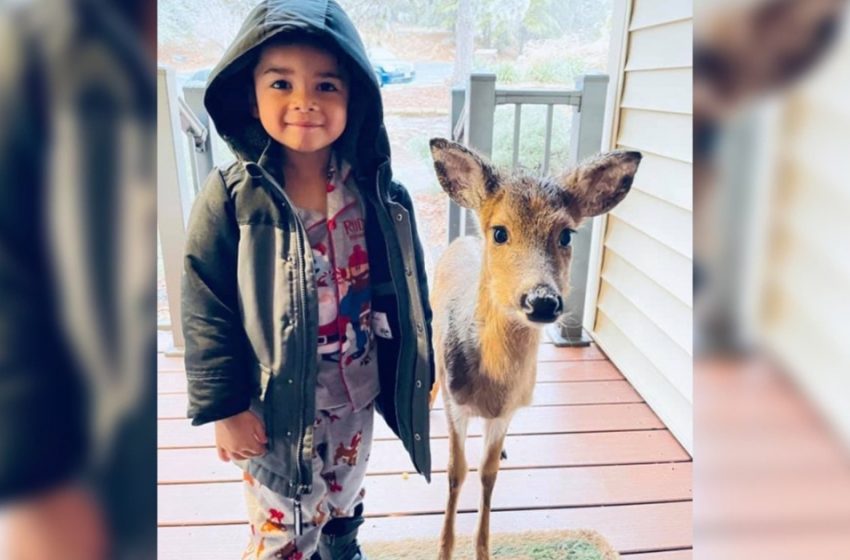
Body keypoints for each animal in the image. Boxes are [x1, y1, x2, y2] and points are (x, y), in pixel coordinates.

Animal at [428, 137, 640, 560]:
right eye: (500, 232)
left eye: (567, 235)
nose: (542, 301)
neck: (491, 387)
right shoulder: (456, 403)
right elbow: (456, 472)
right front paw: (444, 549)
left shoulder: (507, 411)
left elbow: (488, 474)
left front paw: (482, 550)